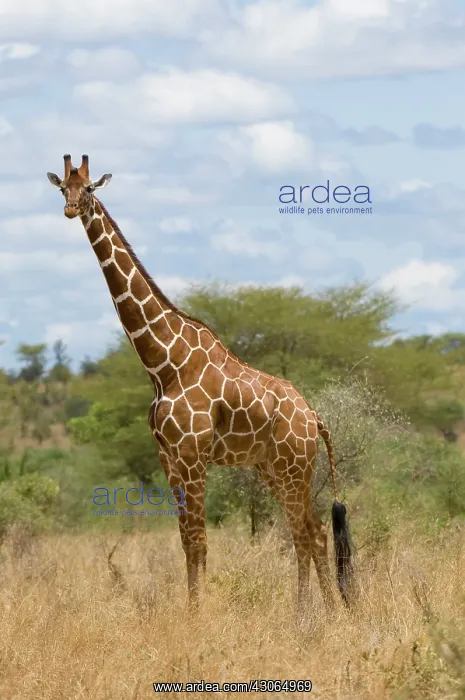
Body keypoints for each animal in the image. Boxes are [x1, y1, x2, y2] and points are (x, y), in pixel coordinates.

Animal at [47, 154, 354, 614]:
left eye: (89, 189)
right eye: (63, 187)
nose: (70, 209)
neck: (163, 363)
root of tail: (315, 417)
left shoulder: (193, 455)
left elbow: (199, 540)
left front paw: (198, 615)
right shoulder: (169, 457)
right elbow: (185, 541)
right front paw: (191, 610)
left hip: (294, 466)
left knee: (311, 532)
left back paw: (323, 614)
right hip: (271, 467)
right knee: (305, 532)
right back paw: (305, 614)